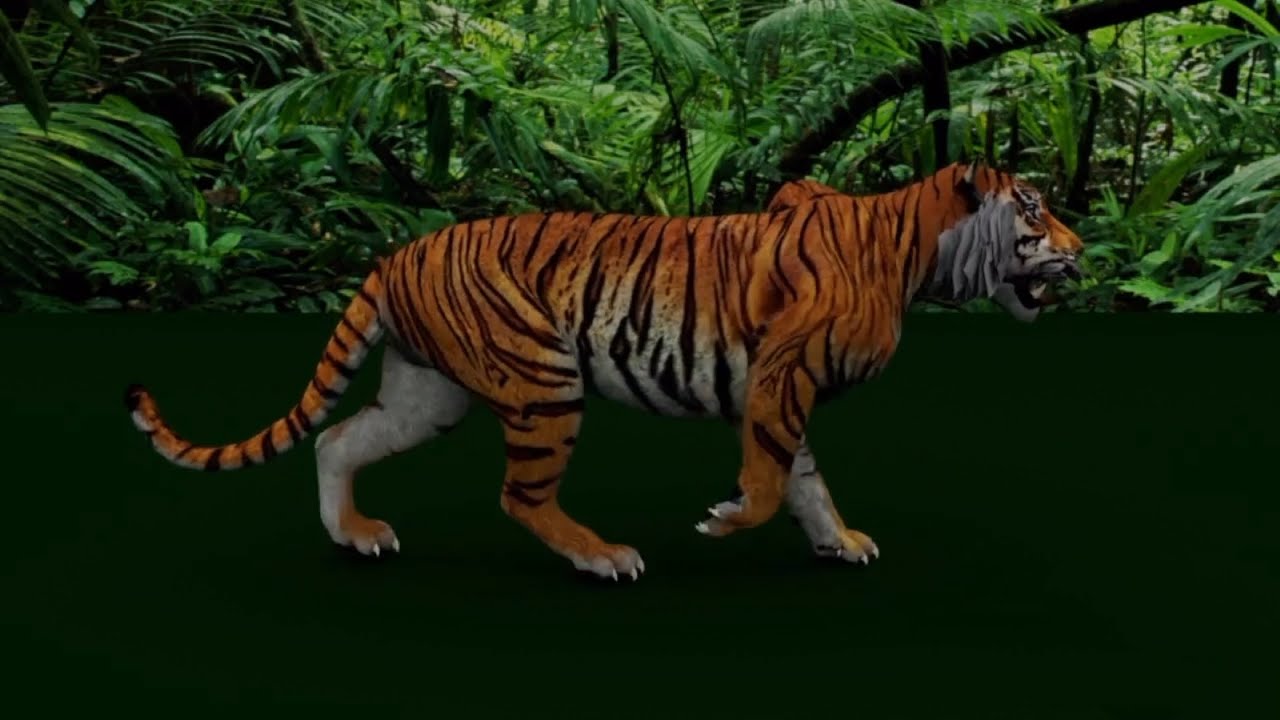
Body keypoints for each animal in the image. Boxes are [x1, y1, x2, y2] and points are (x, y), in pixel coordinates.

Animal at [125, 160, 1084, 582]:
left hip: (428, 393)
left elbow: (804, 479)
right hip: (542, 375)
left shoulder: (782, 385)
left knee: (335, 439)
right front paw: (725, 520)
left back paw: (355, 535)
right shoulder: (781, 374)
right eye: (1035, 211)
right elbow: (773, 478)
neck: (918, 253)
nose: (1079, 250)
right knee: (520, 496)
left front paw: (837, 542)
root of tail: (398, 253)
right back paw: (604, 555)